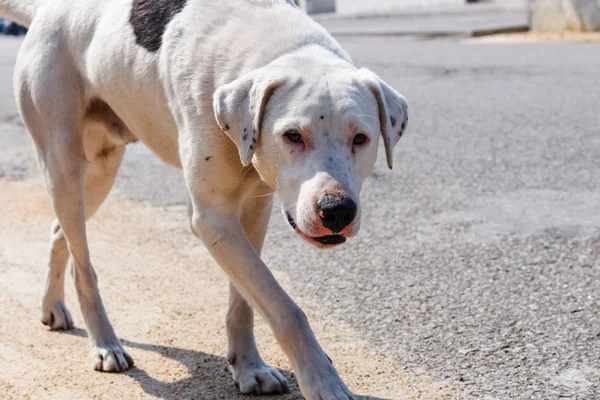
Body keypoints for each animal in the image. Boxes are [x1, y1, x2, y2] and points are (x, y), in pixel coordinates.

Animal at [0, 1, 408, 398]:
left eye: (361, 138)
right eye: (292, 135)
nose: (337, 211)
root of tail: (44, 12)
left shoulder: (252, 210)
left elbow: (246, 302)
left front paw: (249, 367)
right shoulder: (213, 220)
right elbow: (286, 309)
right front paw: (323, 382)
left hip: (101, 170)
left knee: (59, 233)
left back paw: (53, 306)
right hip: (63, 164)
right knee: (83, 263)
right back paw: (105, 343)